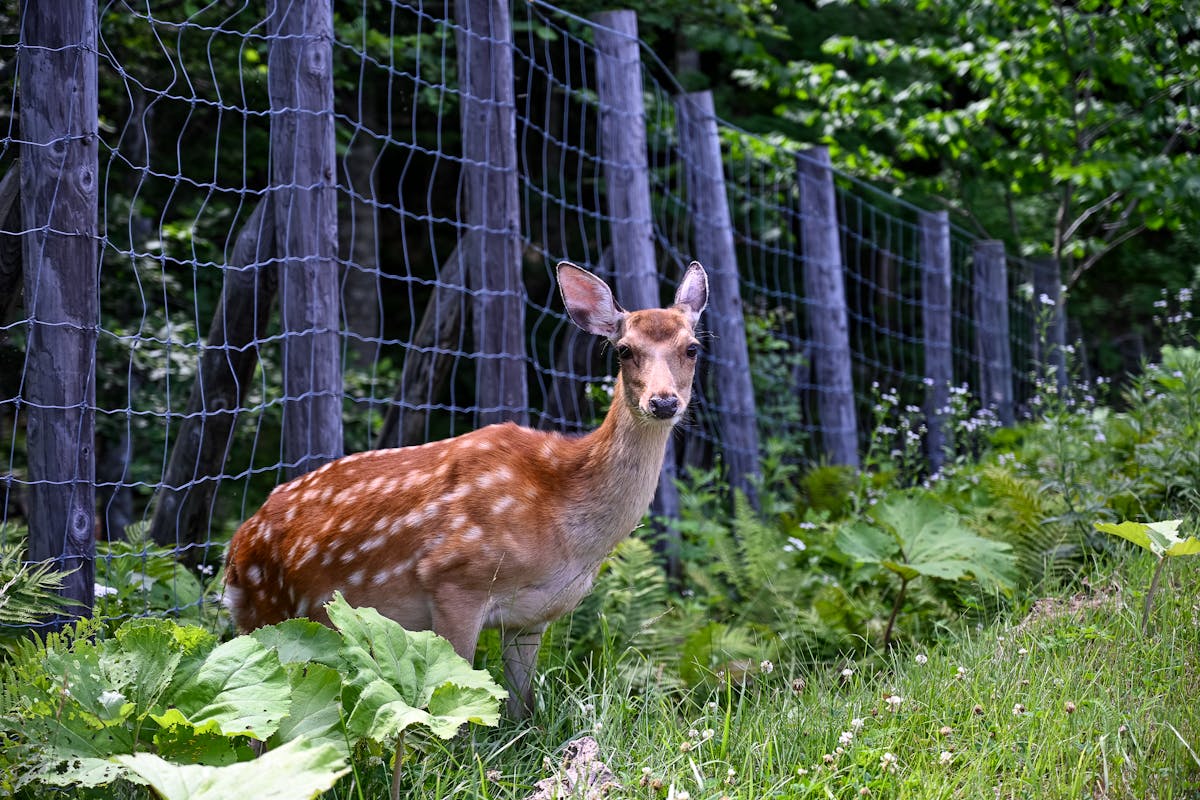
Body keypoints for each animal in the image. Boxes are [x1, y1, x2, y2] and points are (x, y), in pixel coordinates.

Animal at [223, 260, 708, 718]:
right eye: (624, 350)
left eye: (692, 348)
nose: (663, 401)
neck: (563, 521)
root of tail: (234, 550)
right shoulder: (454, 578)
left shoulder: (531, 616)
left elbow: (522, 709)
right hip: (265, 613)